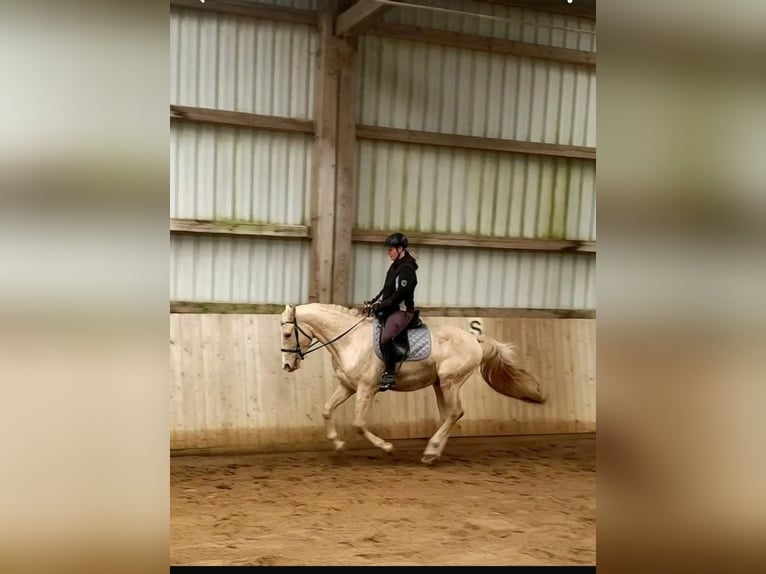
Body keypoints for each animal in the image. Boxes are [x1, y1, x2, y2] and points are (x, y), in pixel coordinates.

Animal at [282, 304, 544, 466]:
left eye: (286, 334)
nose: (286, 365)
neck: (349, 340)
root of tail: (474, 339)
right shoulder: (348, 386)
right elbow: (327, 410)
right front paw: (337, 445)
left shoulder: (366, 388)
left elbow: (358, 423)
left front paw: (387, 447)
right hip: (439, 384)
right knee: (449, 415)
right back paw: (433, 453)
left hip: (450, 381)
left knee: (455, 413)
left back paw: (431, 449)